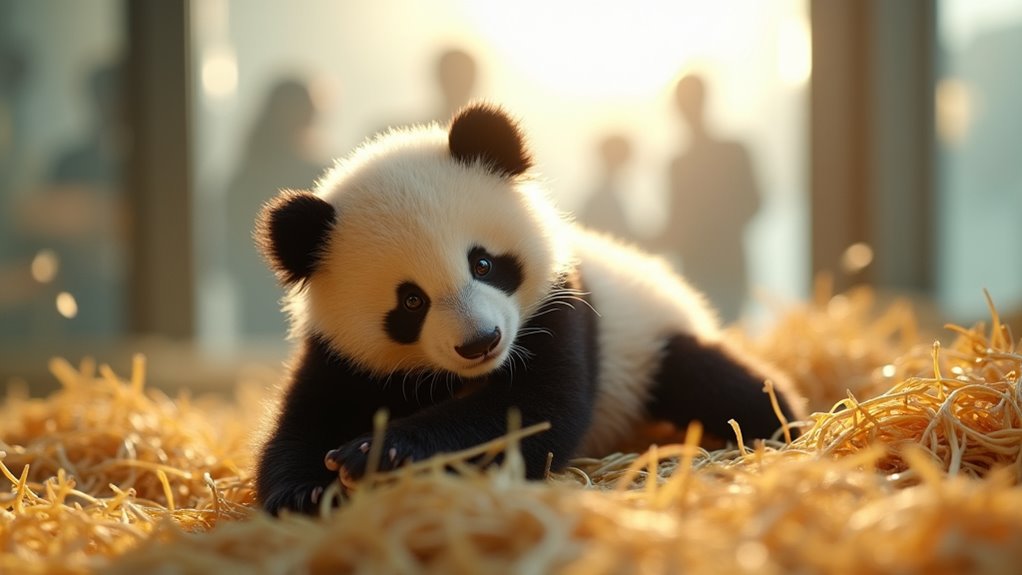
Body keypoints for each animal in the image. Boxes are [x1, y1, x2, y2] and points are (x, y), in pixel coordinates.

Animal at [254, 102, 803, 515]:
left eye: (482, 263)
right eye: (410, 301)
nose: (481, 342)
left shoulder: (561, 306)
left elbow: (534, 413)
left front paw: (377, 452)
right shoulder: (342, 353)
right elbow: (304, 418)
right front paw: (304, 493)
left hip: (649, 341)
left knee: (719, 381)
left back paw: (785, 426)